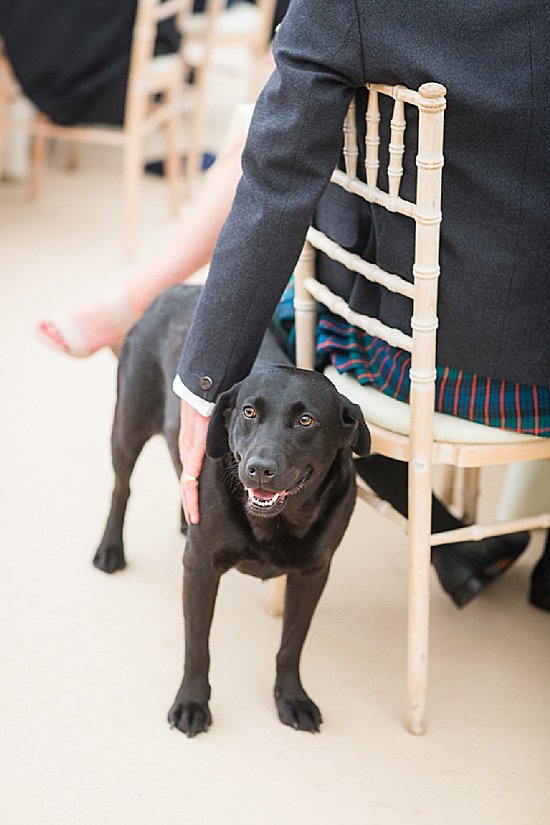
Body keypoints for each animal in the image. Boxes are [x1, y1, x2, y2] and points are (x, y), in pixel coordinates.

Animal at [95, 286, 370, 736]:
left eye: (306, 420)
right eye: (249, 411)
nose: (259, 467)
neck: (275, 523)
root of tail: (179, 289)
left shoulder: (313, 574)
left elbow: (291, 646)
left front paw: (292, 698)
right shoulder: (201, 568)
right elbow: (197, 646)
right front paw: (191, 702)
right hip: (127, 427)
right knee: (121, 489)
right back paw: (110, 550)